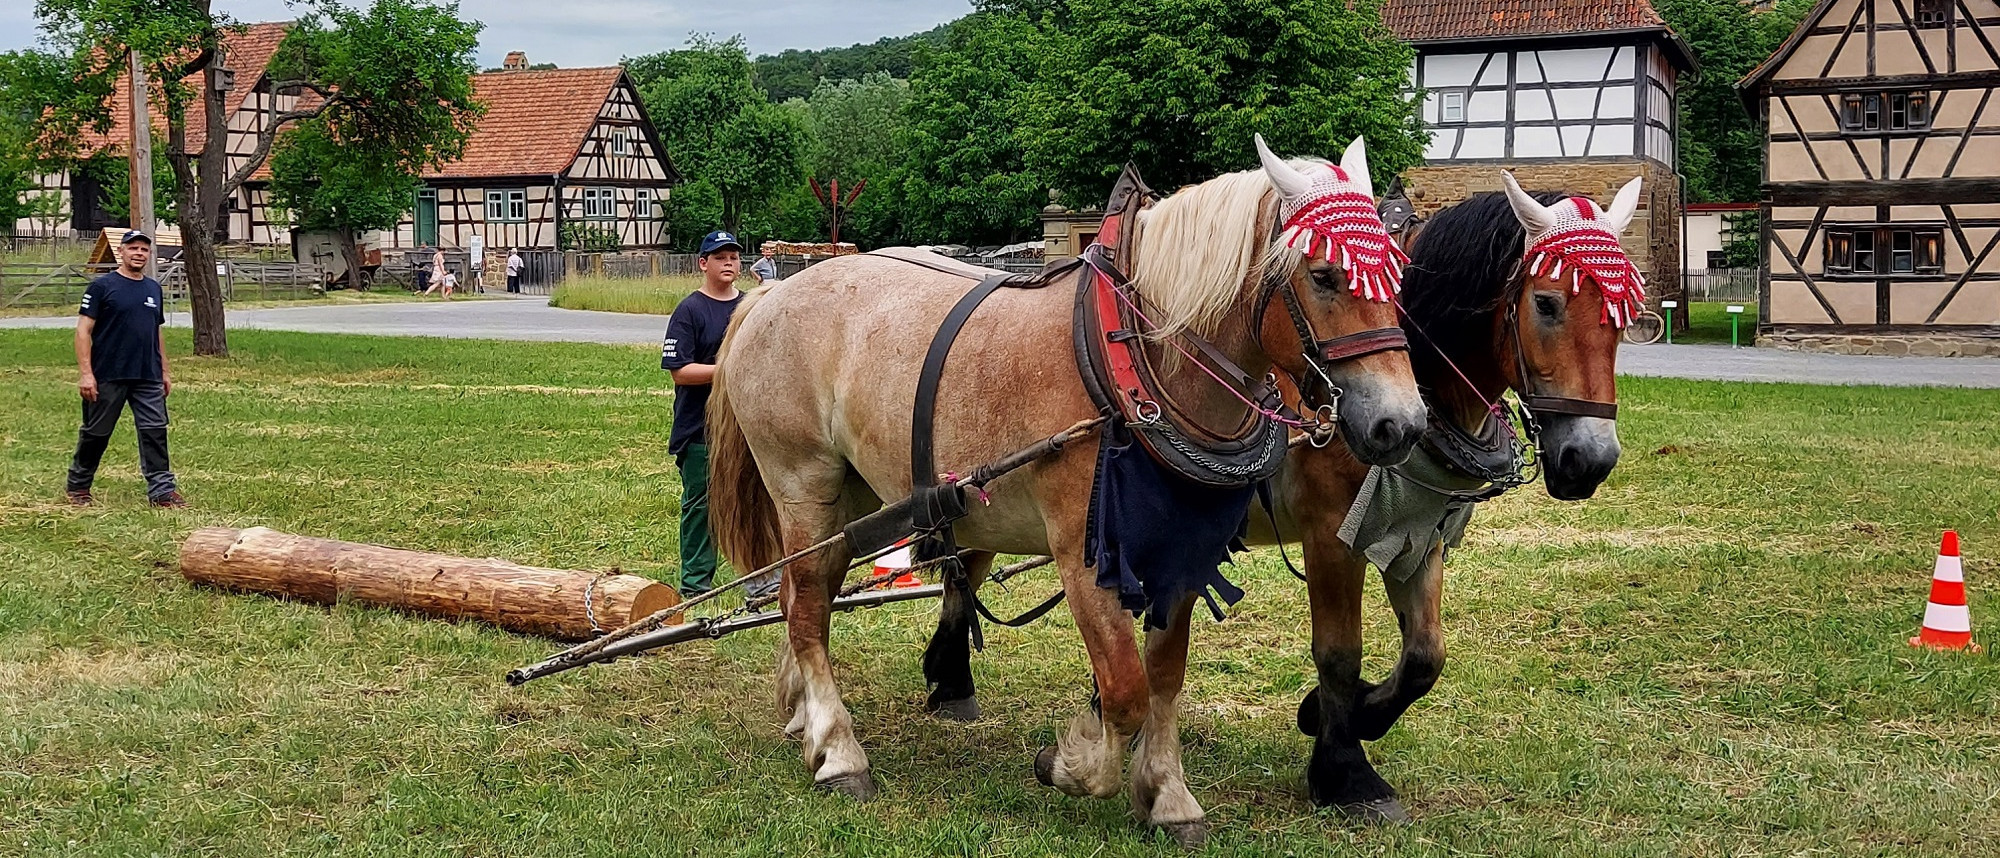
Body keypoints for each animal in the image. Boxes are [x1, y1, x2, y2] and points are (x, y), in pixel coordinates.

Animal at [707, 137, 1427, 844]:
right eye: (1324, 276)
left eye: (1399, 278)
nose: (1402, 425)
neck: (1135, 365)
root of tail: (770, 295)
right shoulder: (1084, 558)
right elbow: (1125, 687)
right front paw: (1072, 763)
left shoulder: (1180, 547)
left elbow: (1164, 675)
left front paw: (1167, 794)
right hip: (804, 484)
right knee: (806, 607)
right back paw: (838, 750)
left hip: (856, 497)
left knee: (807, 593)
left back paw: (803, 715)